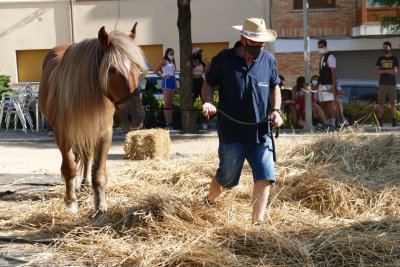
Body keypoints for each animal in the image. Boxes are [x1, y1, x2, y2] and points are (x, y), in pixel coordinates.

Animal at [38, 23, 148, 224]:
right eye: (112, 70)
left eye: (138, 69)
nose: (135, 117)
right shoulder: (63, 134)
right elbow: (69, 168)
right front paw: (71, 203)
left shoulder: (103, 133)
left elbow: (98, 173)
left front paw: (100, 208)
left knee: (86, 158)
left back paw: (83, 184)